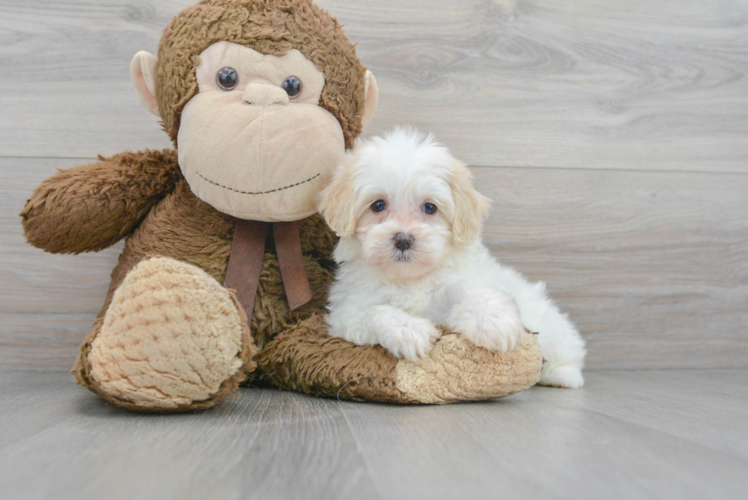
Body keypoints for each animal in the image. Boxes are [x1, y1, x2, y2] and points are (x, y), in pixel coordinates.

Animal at [318, 127, 588, 388]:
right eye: (377, 205)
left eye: (430, 207)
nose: (403, 239)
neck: (412, 278)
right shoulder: (347, 312)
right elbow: (374, 311)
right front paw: (408, 331)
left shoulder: (466, 280)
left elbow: (481, 295)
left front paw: (491, 324)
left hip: (553, 328)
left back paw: (559, 376)